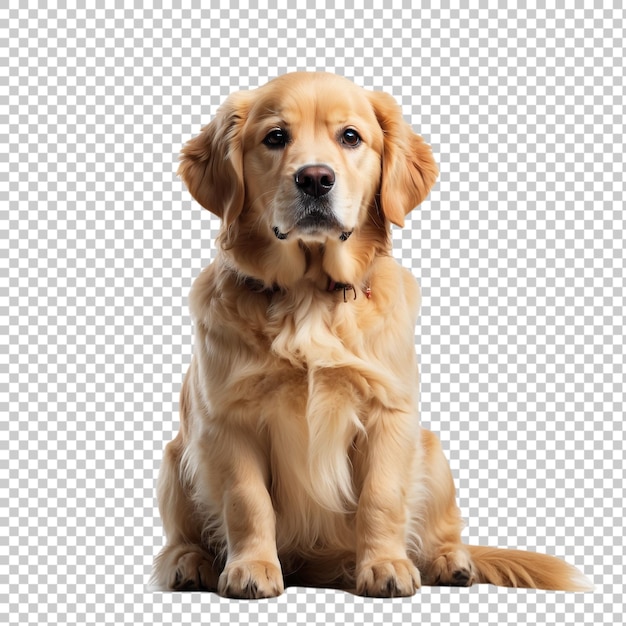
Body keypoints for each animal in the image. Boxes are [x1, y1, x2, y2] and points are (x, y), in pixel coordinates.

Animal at [152, 72, 588, 596]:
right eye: (275, 137)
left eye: (350, 137)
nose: (315, 179)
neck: (309, 296)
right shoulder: (228, 420)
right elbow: (246, 500)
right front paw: (252, 568)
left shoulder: (388, 411)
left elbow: (381, 497)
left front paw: (385, 566)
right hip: (175, 456)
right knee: (182, 530)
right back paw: (188, 562)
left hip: (432, 451)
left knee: (443, 529)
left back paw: (449, 561)